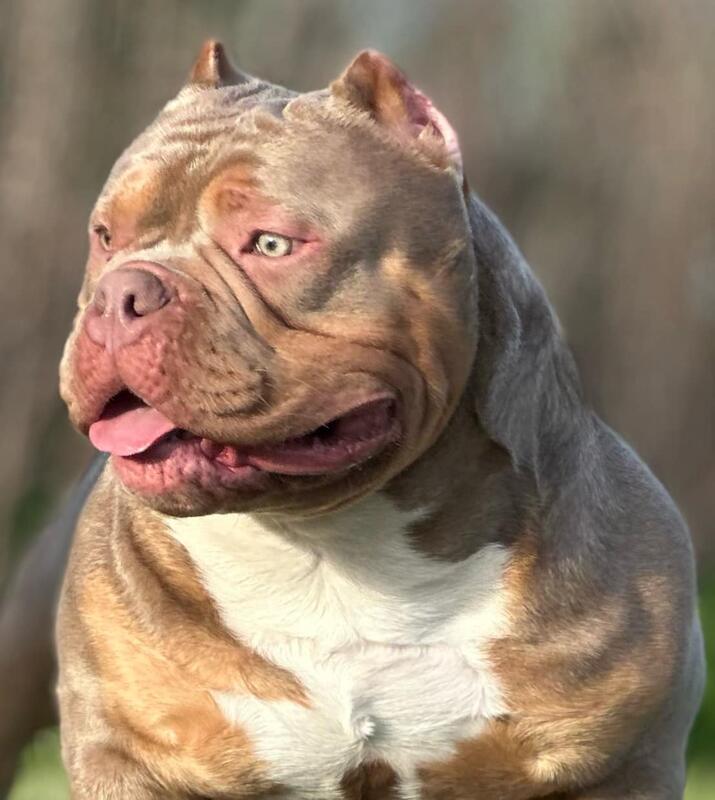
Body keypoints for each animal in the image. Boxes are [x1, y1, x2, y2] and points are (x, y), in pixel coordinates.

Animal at [55, 41, 704, 799]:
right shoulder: (125, 756)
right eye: (105, 236)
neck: (326, 551)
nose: (119, 294)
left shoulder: (621, 762)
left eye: (271, 245)